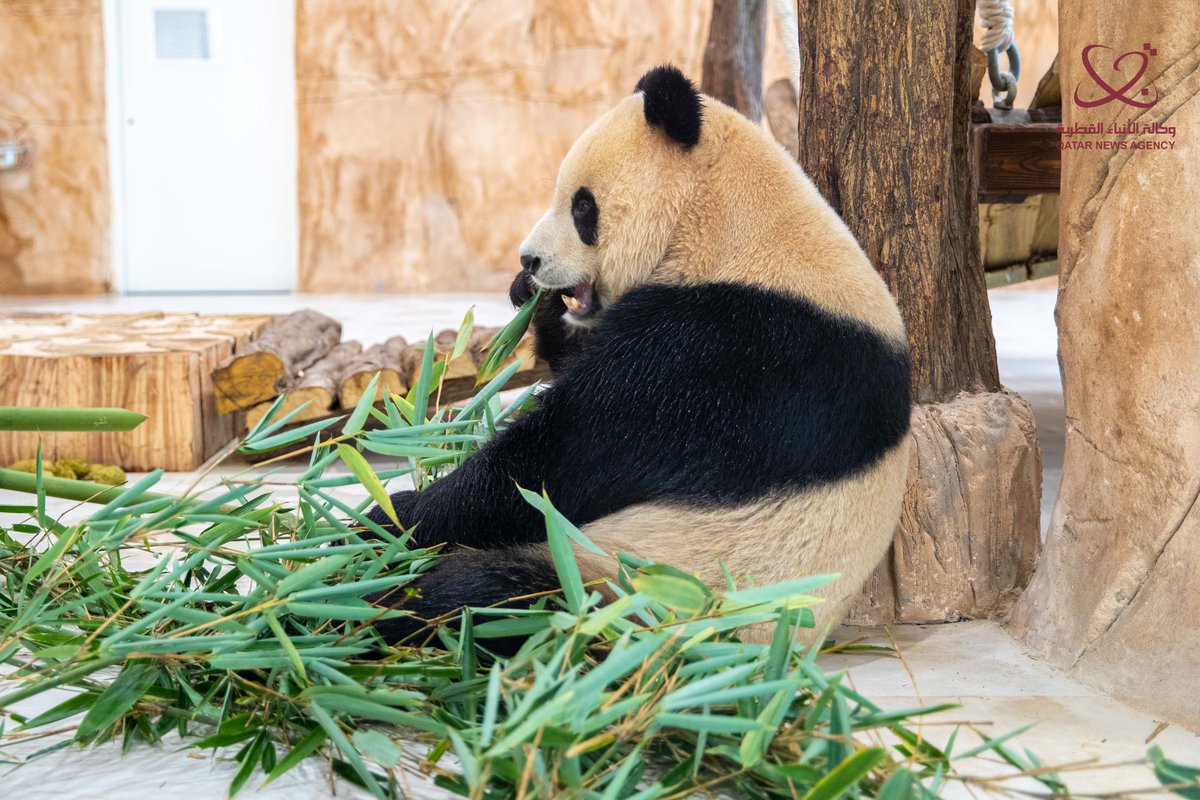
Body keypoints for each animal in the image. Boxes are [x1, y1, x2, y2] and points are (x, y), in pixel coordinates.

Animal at [367, 65, 911, 647]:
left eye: (583, 206)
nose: (528, 259)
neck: (732, 228)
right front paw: (533, 301)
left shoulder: (727, 351)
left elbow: (559, 459)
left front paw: (395, 514)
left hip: (633, 590)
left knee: (492, 599)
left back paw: (379, 606)